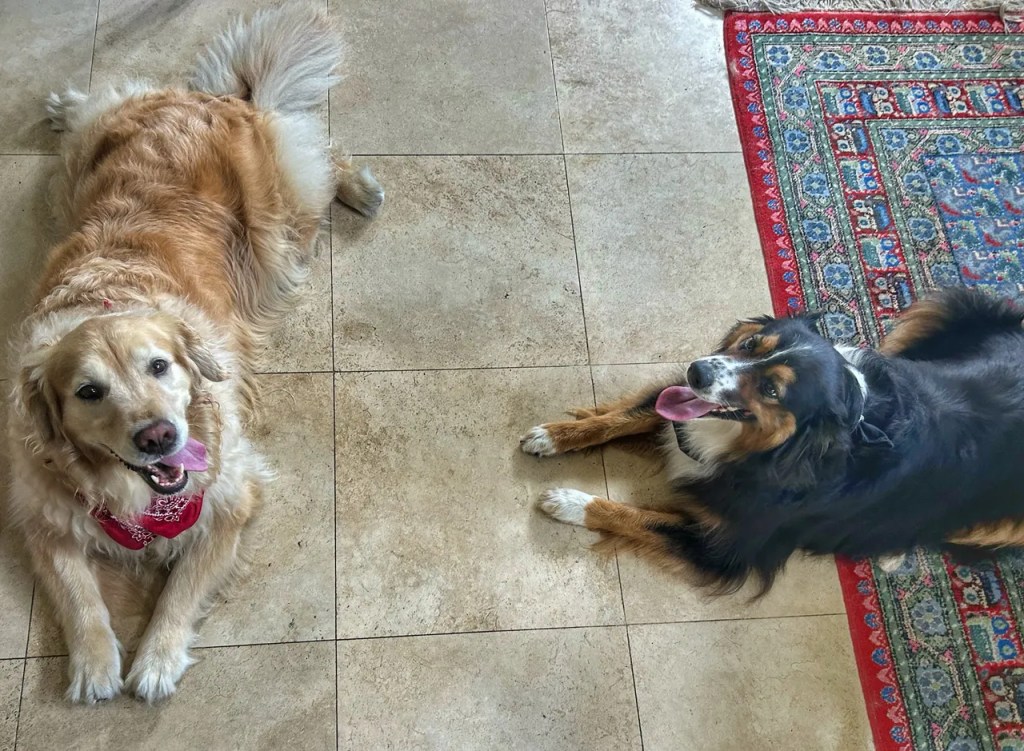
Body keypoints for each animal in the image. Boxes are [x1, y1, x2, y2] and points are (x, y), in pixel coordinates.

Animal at [5, 5, 380, 704]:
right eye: (88, 392)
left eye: (160, 366)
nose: (159, 436)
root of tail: (216, 100)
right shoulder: (38, 512)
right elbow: (77, 593)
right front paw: (94, 664)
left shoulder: (231, 493)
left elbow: (179, 589)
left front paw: (155, 658)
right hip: (84, 166)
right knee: (110, 99)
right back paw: (68, 103)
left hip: (283, 225)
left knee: (314, 145)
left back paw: (358, 184)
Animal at [523, 288, 1024, 593]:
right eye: (751, 345)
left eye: (771, 389)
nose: (696, 371)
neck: (777, 451)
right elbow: (625, 417)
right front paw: (552, 436)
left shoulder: (724, 549)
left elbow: (634, 516)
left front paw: (569, 501)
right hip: (945, 313)